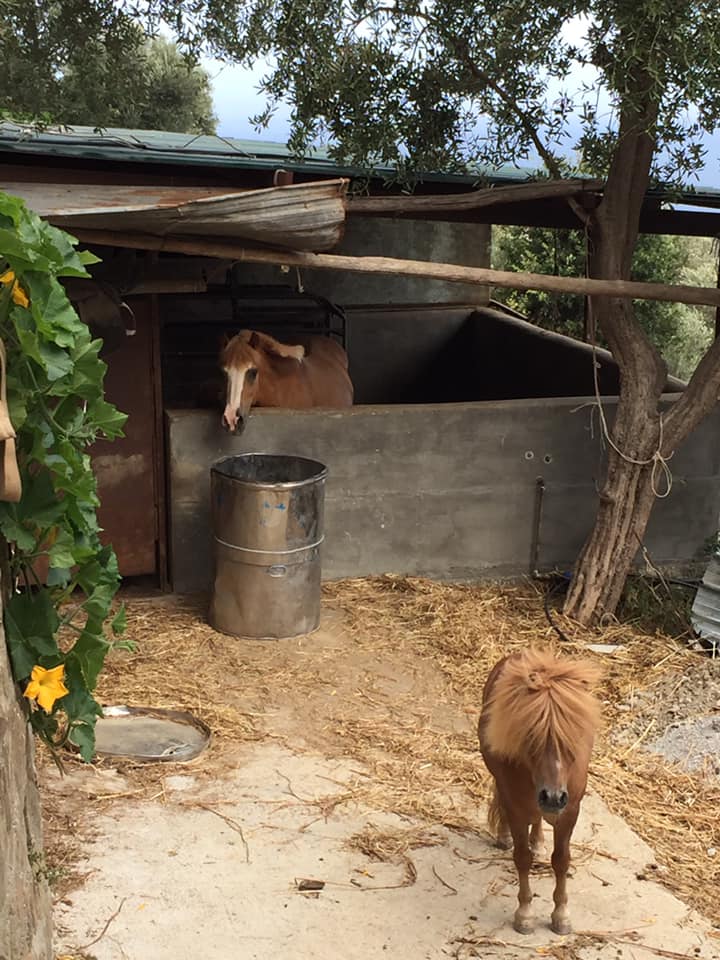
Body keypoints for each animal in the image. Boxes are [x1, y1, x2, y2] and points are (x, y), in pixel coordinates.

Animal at [478, 648, 600, 932]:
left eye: (573, 739)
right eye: (531, 735)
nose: (553, 798)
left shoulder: (570, 811)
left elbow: (561, 859)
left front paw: (561, 916)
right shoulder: (515, 806)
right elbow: (522, 857)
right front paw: (525, 915)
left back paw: (539, 842)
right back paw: (504, 837)